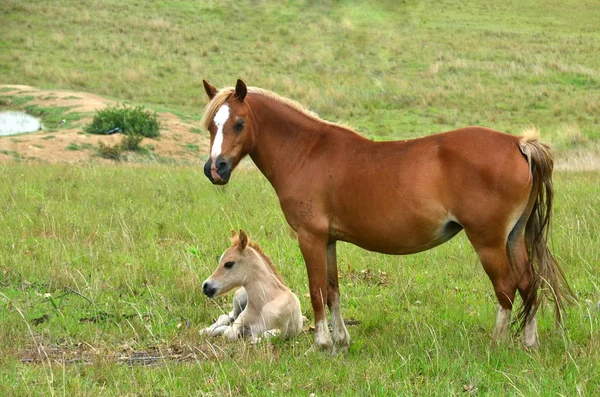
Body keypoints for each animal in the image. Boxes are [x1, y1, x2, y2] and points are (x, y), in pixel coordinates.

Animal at [200, 79, 572, 352]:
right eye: (212, 127)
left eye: (239, 123)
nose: (215, 169)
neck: (306, 152)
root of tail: (519, 144)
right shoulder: (329, 240)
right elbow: (333, 290)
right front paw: (341, 342)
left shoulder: (310, 238)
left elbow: (317, 290)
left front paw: (320, 344)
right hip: (514, 238)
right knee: (528, 282)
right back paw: (529, 343)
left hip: (489, 242)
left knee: (507, 287)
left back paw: (497, 343)